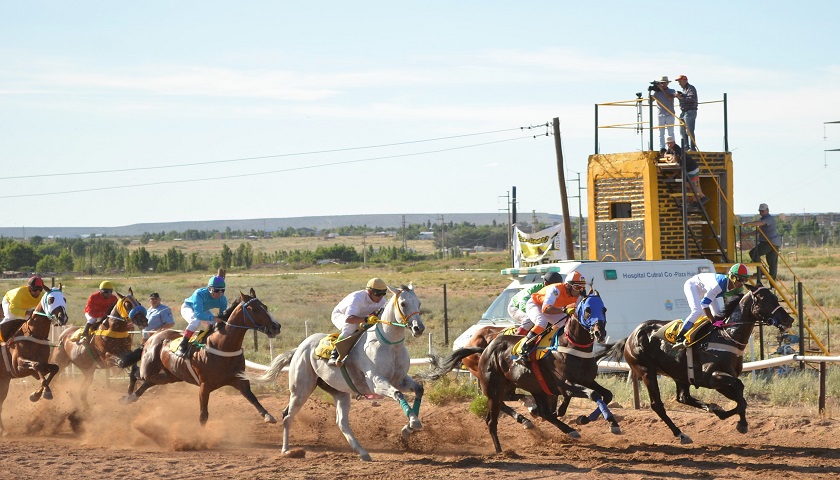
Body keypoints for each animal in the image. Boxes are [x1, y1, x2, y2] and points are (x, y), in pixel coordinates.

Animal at [0, 286, 68, 436]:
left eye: (64, 299)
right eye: (51, 299)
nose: (63, 318)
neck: (33, 334)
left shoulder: (38, 368)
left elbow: (53, 369)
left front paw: (37, 395)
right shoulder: (17, 366)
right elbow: (36, 365)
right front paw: (43, 393)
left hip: (4, 381)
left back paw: (4, 430)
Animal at [121, 286, 280, 426]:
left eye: (265, 307)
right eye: (254, 309)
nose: (276, 327)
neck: (222, 345)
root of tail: (152, 337)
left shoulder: (239, 380)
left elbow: (253, 398)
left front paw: (268, 415)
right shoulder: (205, 386)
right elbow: (203, 415)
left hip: (170, 376)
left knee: (148, 382)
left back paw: (131, 397)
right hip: (150, 370)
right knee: (136, 374)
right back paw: (128, 395)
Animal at [251, 284, 424, 462]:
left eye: (418, 303)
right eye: (403, 303)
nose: (418, 328)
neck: (390, 345)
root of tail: (300, 347)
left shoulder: (399, 380)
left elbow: (419, 389)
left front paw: (408, 428)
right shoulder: (376, 382)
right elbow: (398, 394)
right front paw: (413, 423)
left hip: (340, 392)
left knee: (341, 422)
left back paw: (362, 452)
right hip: (301, 390)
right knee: (287, 417)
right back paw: (286, 450)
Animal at [426, 292, 616, 454]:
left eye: (604, 309)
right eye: (588, 310)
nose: (600, 332)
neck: (571, 347)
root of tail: (484, 348)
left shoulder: (586, 380)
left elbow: (607, 395)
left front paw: (590, 420)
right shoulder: (566, 385)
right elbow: (594, 395)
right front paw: (609, 423)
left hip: (529, 386)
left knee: (539, 410)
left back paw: (556, 425)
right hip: (493, 387)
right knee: (494, 417)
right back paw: (501, 450)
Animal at [604, 284, 796, 444]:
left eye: (775, 298)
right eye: (764, 300)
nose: (789, 320)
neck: (726, 335)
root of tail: (630, 337)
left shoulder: (722, 382)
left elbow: (741, 399)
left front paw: (721, 412)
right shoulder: (711, 377)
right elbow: (740, 391)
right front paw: (741, 423)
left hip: (679, 374)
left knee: (683, 397)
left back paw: (709, 409)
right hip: (646, 371)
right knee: (657, 405)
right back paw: (680, 434)